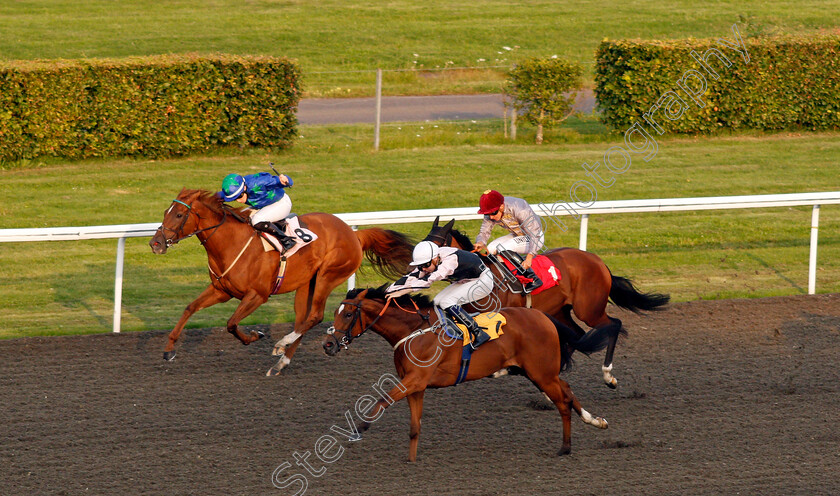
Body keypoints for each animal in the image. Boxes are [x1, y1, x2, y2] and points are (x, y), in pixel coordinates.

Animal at [151, 190, 416, 376]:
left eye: (178, 214)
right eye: (165, 211)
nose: (155, 243)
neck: (230, 243)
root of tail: (354, 234)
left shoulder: (257, 295)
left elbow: (231, 323)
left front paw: (255, 335)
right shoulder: (221, 290)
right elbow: (190, 308)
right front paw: (169, 349)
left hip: (328, 276)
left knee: (315, 316)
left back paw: (280, 345)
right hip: (306, 284)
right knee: (303, 320)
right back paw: (281, 362)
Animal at [322, 284, 616, 464]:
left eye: (347, 314)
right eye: (335, 312)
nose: (328, 345)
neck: (413, 331)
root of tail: (545, 318)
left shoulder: (414, 380)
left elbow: (382, 399)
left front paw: (360, 427)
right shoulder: (416, 386)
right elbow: (415, 427)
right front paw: (411, 459)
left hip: (541, 373)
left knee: (562, 402)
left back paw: (566, 447)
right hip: (537, 373)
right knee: (567, 389)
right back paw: (596, 421)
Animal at [424, 217, 672, 388]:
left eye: (438, 243)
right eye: (424, 242)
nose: (421, 269)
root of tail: (597, 261)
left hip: (589, 309)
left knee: (614, 324)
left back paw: (608, 375)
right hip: (561, 310)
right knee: (577, 335)